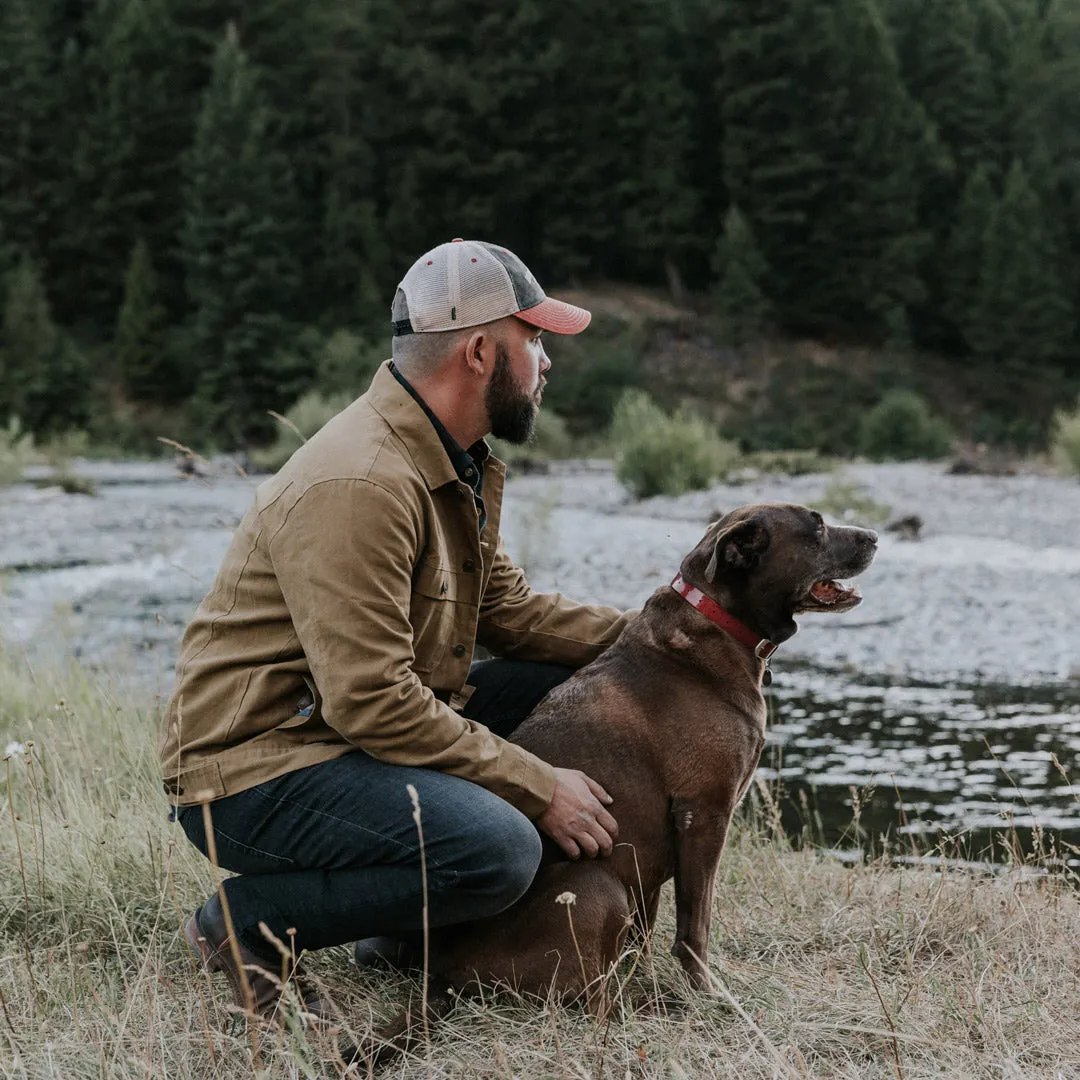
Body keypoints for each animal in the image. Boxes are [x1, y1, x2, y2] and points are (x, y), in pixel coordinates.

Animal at [367, 503, 872, 1054]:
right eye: (817, 526)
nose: (872, 536)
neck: (716, 621)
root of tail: (444, 979)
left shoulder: (651, 860)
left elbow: (648, 935)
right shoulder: (704, 815)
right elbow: (695, 926)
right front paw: (709, 995)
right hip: (598, 886)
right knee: (596, 1008)